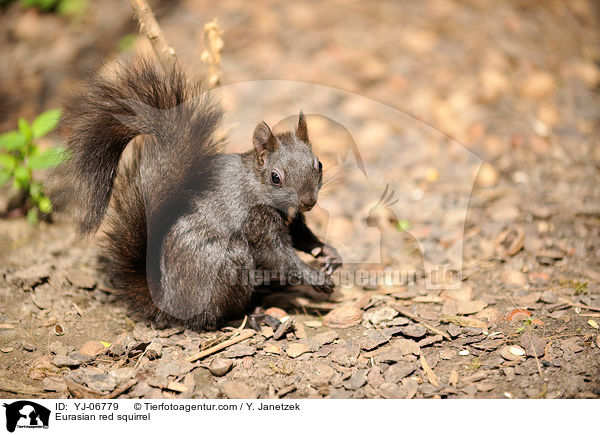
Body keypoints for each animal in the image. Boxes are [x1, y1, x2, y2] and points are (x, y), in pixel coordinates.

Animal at [54, 58, 344, 330]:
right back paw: (252, 317)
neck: (257, 185)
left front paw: (328, 253)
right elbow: (277, 257)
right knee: (214, 318)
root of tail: (168, 303)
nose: (309, 201)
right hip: (227, 264)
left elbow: (303, 237)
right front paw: (317, 277)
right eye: (275, 177)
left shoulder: (293, 219)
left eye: (318, 164)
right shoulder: (256, 222)